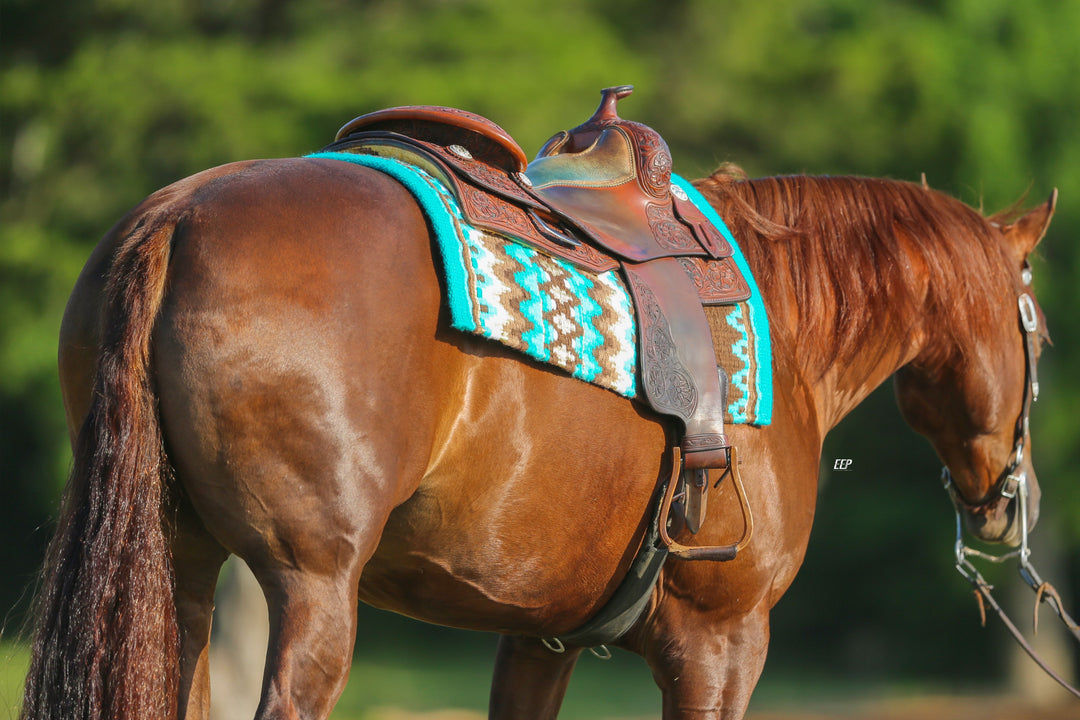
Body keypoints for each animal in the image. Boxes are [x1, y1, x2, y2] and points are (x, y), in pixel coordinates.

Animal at [19, 148, 1054, 716]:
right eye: (1040, 330)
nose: (1014, 504)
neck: (788, 320)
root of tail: (176, 217)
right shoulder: (722, 643)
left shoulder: (537, 641)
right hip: (312, 588)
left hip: (177, 571)